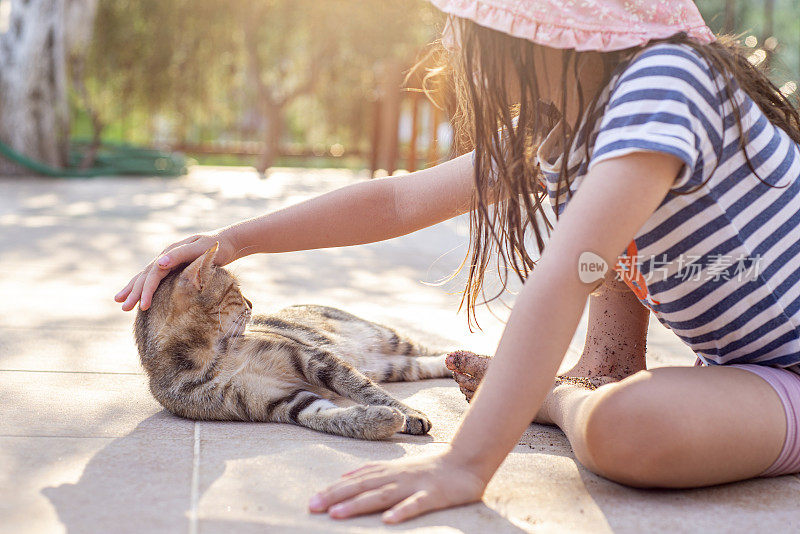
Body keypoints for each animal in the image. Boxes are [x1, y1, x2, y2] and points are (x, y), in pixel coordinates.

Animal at [133, 245, 450, 442]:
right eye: (236, 289)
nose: (252, 303)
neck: (212, 357)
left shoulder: (312, 357)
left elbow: (366, 390)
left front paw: (409, 414)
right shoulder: (280, 402)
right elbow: (328, 417)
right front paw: (380, 421)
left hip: (389, 338)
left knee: (429, 351)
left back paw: (462, 360)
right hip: (394, 366)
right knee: (423, 364)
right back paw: (454, 367)